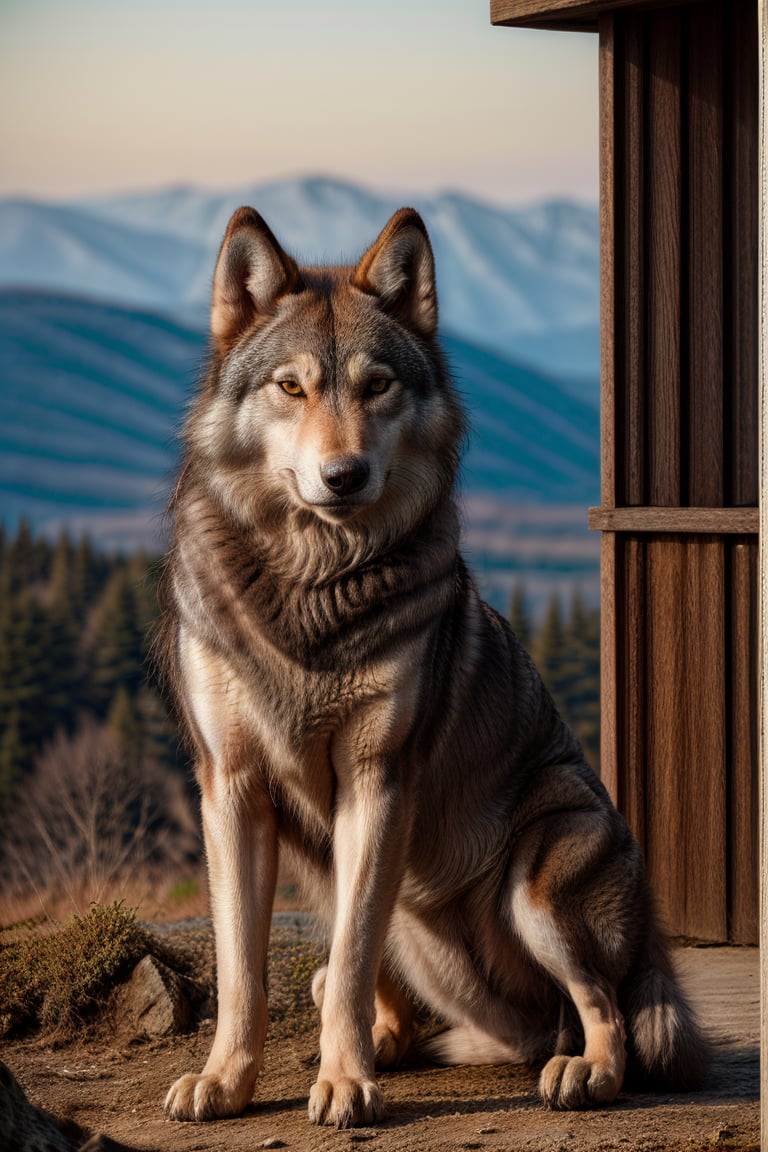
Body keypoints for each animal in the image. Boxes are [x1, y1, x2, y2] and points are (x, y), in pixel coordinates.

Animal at [161, 205, 709, 1124]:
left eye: (377, 385)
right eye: (292, 388)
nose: (343, 475)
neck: (312, 586)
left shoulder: (378, 781)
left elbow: (349, 960)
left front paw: (344, 1085)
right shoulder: (231, 788)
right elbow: (246, 970)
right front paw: (226, 1080)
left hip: (538, 885)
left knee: (603, 1011)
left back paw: (581, 1073)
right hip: (364, 889)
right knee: (373, 987)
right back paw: (399, 1043)